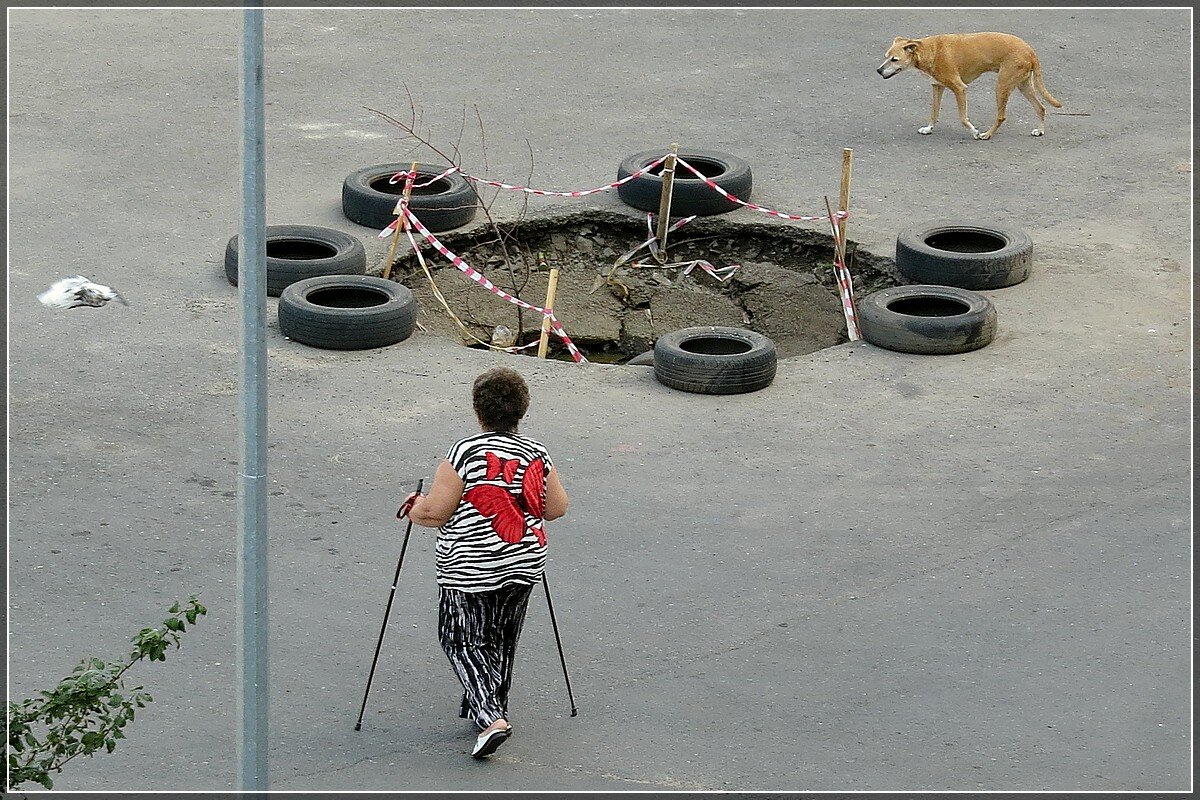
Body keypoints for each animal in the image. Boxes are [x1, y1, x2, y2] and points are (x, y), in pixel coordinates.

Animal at [878, 33, 1065, 140]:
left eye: (894, 59)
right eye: (886, 56)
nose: (879, 70)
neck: (929, 50)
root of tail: (1030, 51)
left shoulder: (960, 89)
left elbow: (962, 118)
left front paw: (974, 132)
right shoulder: (937, 87)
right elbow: (934, 112)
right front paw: (929, 128)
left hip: (1002, 85)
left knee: (1001, 116)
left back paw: (987, 134)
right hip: (1023, 85)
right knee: (1040, 108)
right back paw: (1040, 130)